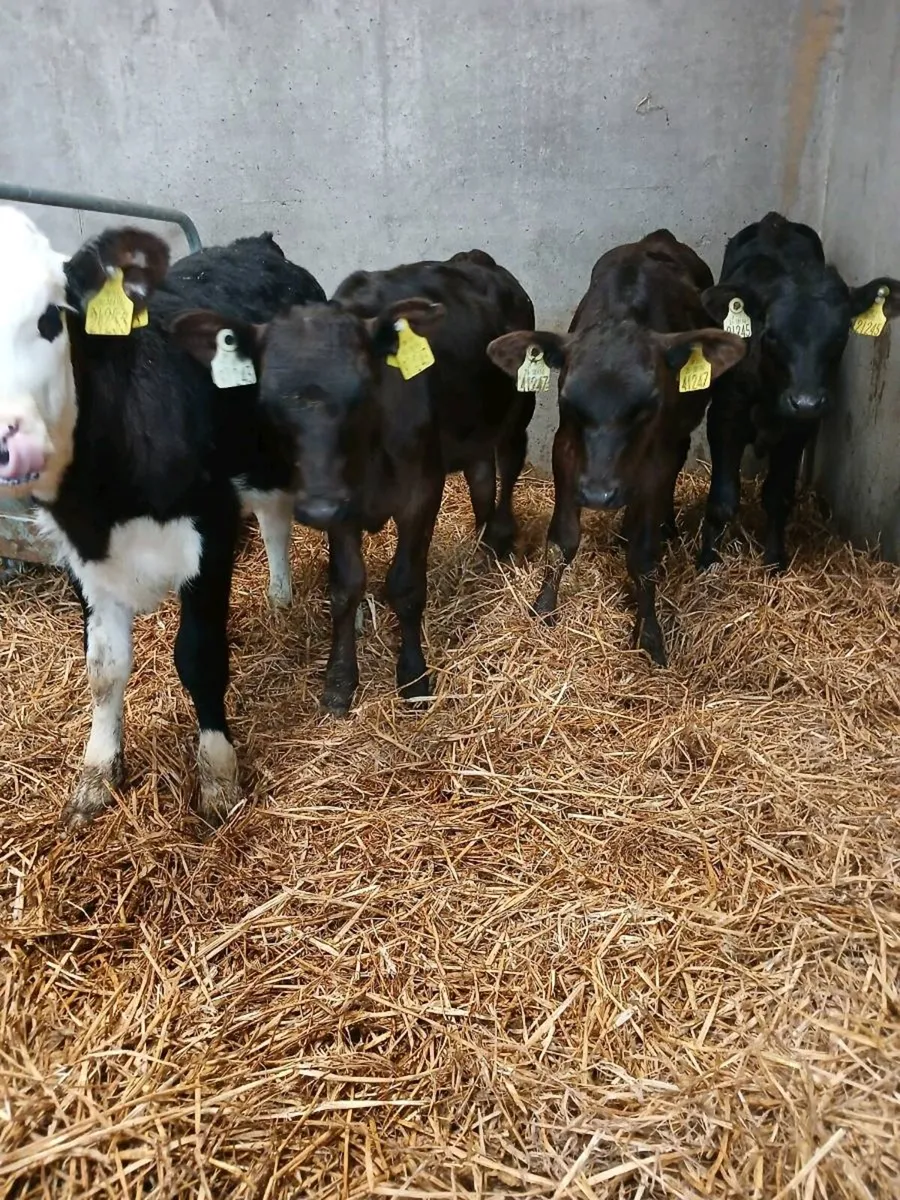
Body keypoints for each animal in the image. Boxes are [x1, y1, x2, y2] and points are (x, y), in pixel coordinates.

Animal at [0, 206, 325, 829]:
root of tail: (259, 245)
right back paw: (279, 598)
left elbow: (198, 656)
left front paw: (218, 777)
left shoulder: (210, 529)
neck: (103, 504)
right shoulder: (83, 560)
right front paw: (96, 774)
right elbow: (103, 670)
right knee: (272, 516)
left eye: (50, 318)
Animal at [169, 249, 536, 714]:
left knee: (510, 462)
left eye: (363, 388)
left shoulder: (421, 492)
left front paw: (413, 677)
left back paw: (501, 537)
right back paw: (484, 538)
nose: (317, 508)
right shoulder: (341, 504)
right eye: (266, 401)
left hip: (520, 407)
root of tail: (474, 258)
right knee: (481, 473)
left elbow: (406, 585)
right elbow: (345, 588)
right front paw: (340, 680)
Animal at [487, 230, 746, 666]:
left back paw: (665, 525)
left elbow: (643, 556)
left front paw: (650, 633)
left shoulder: (656, 457)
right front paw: (543, 609)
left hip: (678, 438)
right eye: (568, 399)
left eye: (649, 403)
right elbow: (562, 539)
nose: (598, 494)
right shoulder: (565, 450)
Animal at [698, 211, 900, 571]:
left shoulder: (799, 429)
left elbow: (778, 497)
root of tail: (775, 220)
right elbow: (723, 498)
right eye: (772, 333)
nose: (805, 401)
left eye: (840, 334)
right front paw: (708, 561)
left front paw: (775, 559)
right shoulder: (724, 416)